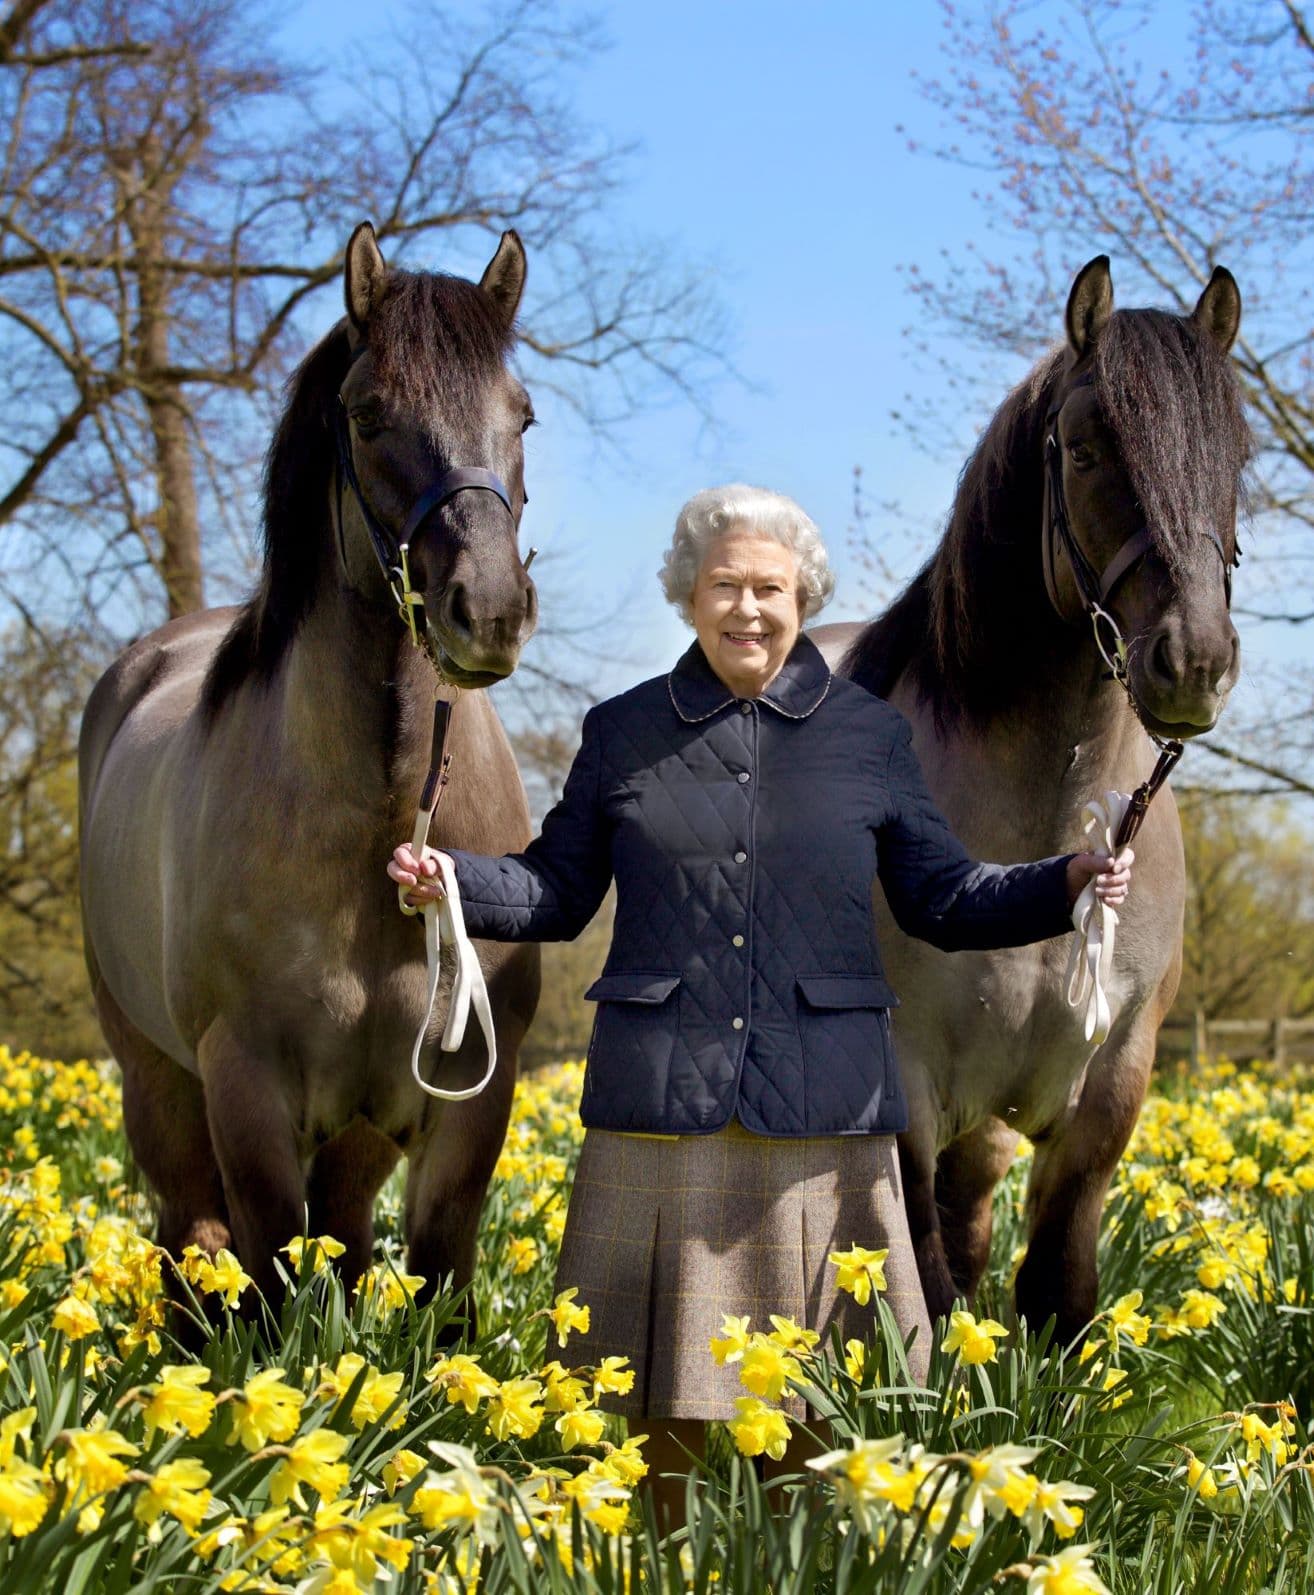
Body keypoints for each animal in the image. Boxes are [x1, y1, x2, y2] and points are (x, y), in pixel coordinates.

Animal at [78, 223, 541, 1308]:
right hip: (156, 1081)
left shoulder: (467, 1099)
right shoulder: (245, 1091)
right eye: (368, 416)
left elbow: (437, 1280)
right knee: (191, 1237)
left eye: (523, 415)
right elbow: (273, 1280)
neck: (378, 815)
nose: (491, 610)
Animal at [813, 256, 1249, 1344]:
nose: (1195, 663)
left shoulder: (1112, 1083)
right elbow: (923, 1291)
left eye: (1236, 455)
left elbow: (1057, 1289)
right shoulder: (907, 1083)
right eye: (1088, 449)